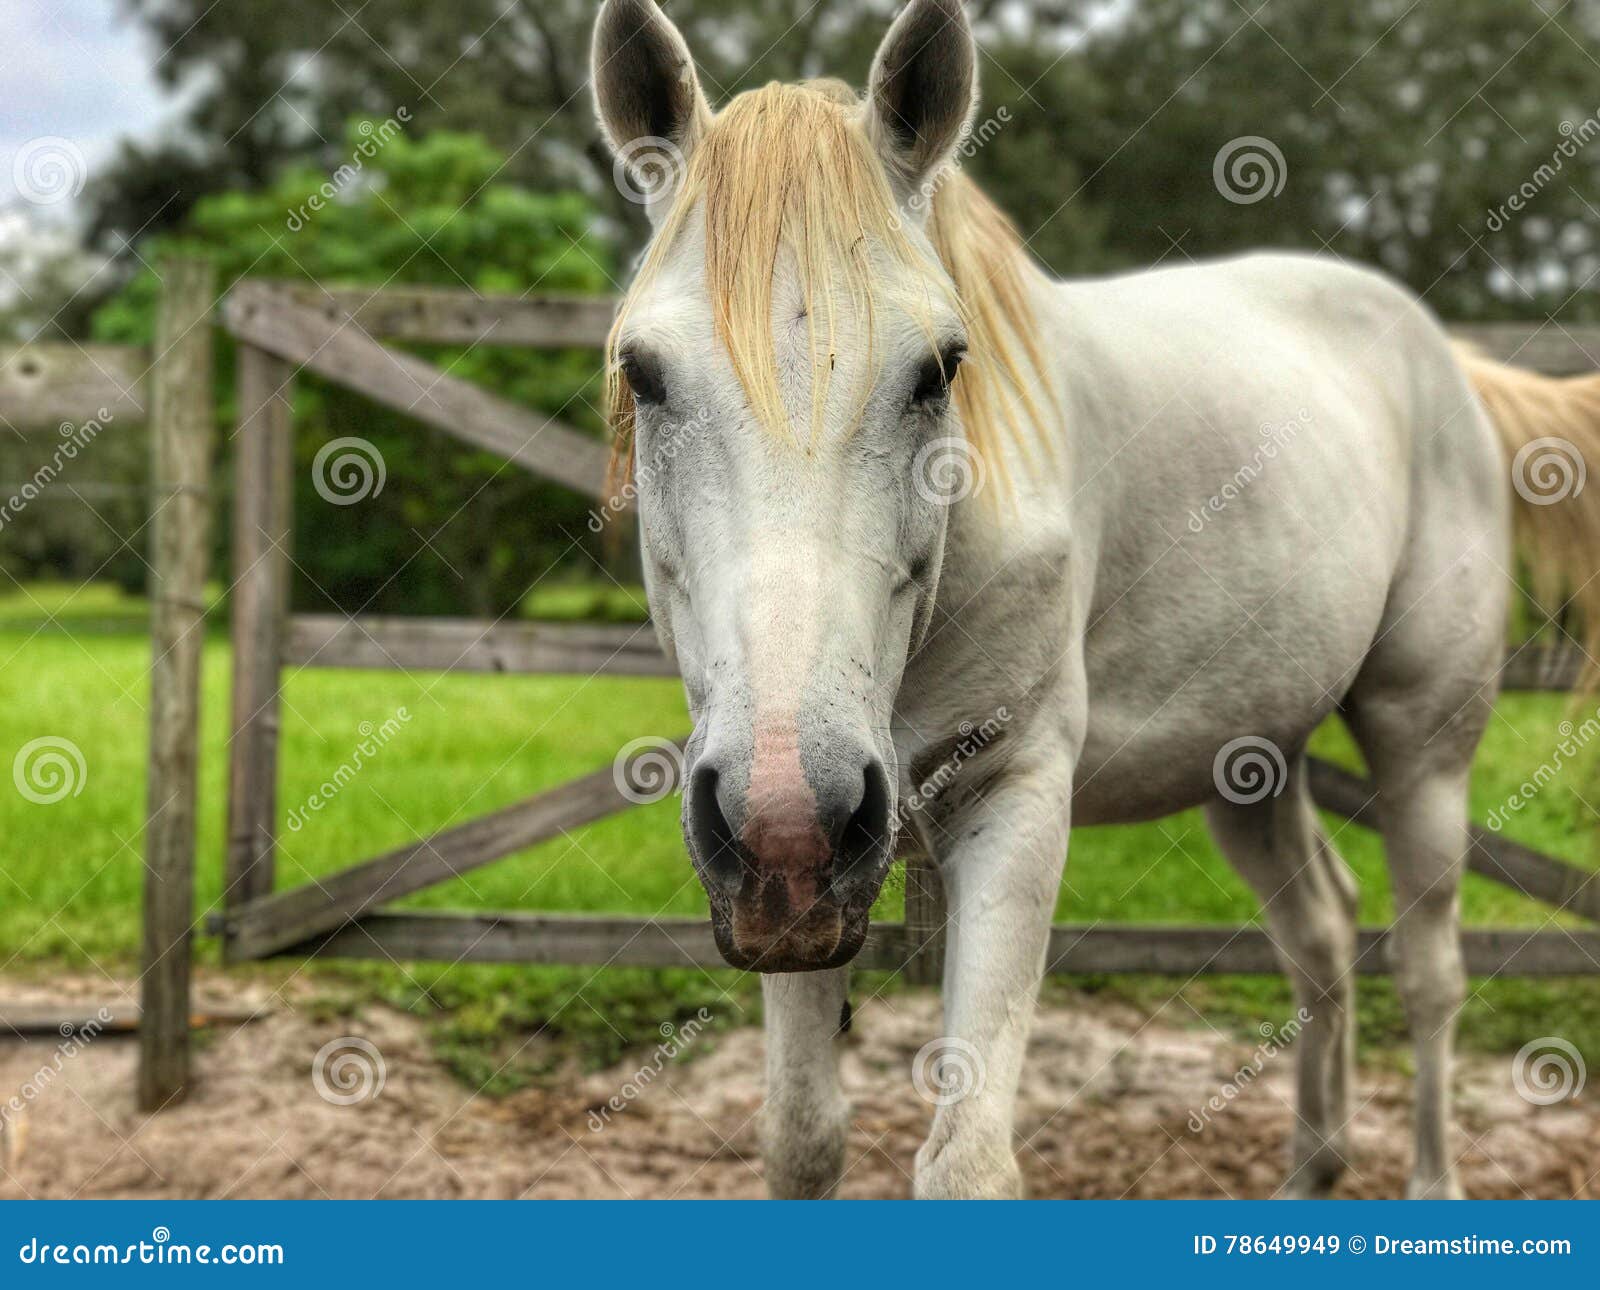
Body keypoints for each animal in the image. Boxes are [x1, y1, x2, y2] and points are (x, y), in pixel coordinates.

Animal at [589, 0, 1600, 1199]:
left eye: (940, 369)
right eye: (644, 373)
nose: (793, 818)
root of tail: (1441, 355)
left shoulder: (1018, 796)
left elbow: (968, 1163)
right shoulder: (787, 880)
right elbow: (801, 1138)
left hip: (1424, 745)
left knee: (1430, 969)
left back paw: (1430, 1185)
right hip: (1249, 762)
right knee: (1321, 933)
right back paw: (1311, 1175)